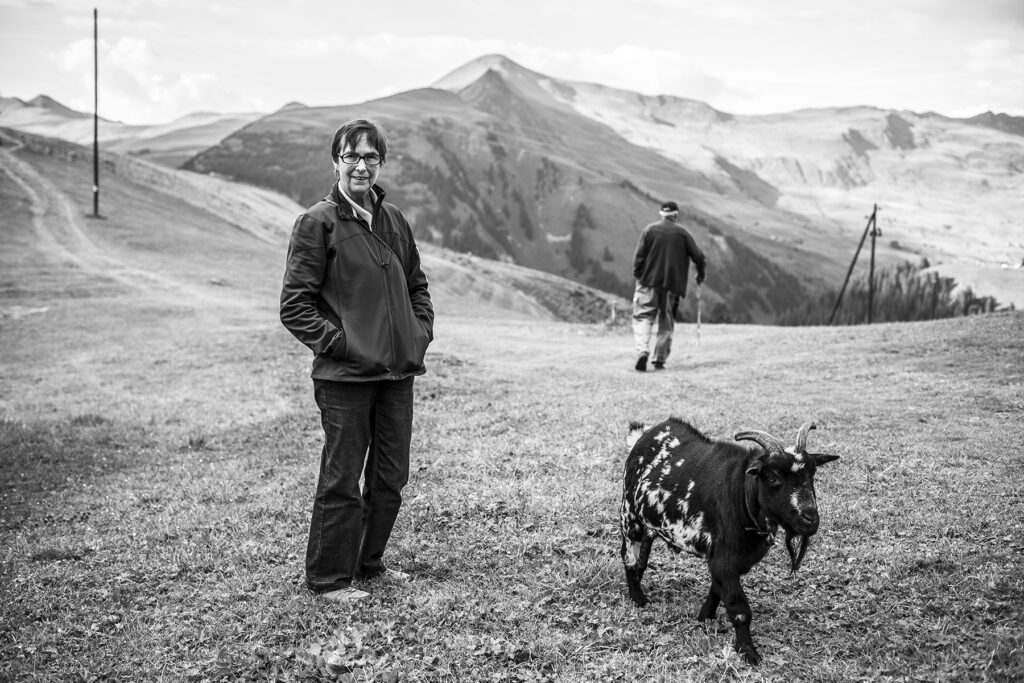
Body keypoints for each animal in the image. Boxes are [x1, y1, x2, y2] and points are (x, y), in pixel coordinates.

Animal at [618, 419, 835, 663]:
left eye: (812, 474)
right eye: (772, 477)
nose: (810, 519)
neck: (741, 495)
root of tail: (642, 434)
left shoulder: (724, 558)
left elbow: (716, 588)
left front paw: (705, 616)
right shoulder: (725, 559)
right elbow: (739, 609)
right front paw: (748, 652)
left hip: (648, 524)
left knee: (642, 557)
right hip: (630, 515)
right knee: (629, 556)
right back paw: (638, 598)